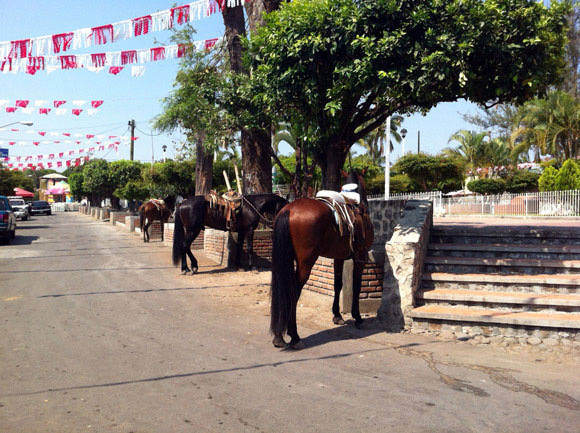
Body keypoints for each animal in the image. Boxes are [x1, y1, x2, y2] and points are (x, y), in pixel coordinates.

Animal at [269, 170, 374, 349]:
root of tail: (289, 209)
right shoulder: (360, 258)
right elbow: (356, 286)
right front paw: (358, 317)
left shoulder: (339, 258)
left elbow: (338, 285)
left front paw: (337, 315)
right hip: (306, 263)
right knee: (294, 291)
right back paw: (294, 336)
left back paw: (279, 337)